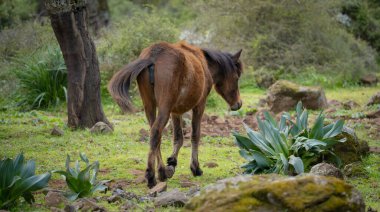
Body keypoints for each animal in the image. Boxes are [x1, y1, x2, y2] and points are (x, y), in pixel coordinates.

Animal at [108, 41, 242, 187]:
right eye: (236, 78)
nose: (238, 104)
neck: (203, 64)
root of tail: (153, 56)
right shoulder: (199, 106)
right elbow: (195, 135)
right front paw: (195, 167)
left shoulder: (175, 111)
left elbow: (178, 137)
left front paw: (172, 163)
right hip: (164, 109)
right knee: (156, 132)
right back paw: (151, 176)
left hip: (150, 107)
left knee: (155, 136)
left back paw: (161, 171)